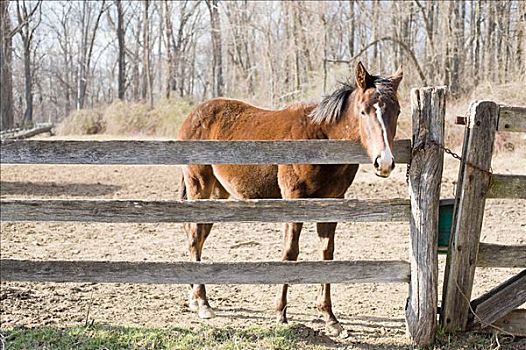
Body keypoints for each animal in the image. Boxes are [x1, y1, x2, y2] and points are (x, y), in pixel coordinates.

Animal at [178, 61, 404, 334]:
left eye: (397, 111)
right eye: (363, 111)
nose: (385, 162)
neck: (320, 136)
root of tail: (192, 116)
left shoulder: (332, 202)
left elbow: (327, 254)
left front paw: (330, 318)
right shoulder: (293, 200)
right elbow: (290, 252)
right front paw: (281, 313)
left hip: (217, 194)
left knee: (199, 236)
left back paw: (194, 297)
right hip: (199, 187)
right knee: (194, 236)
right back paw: (202, 303)